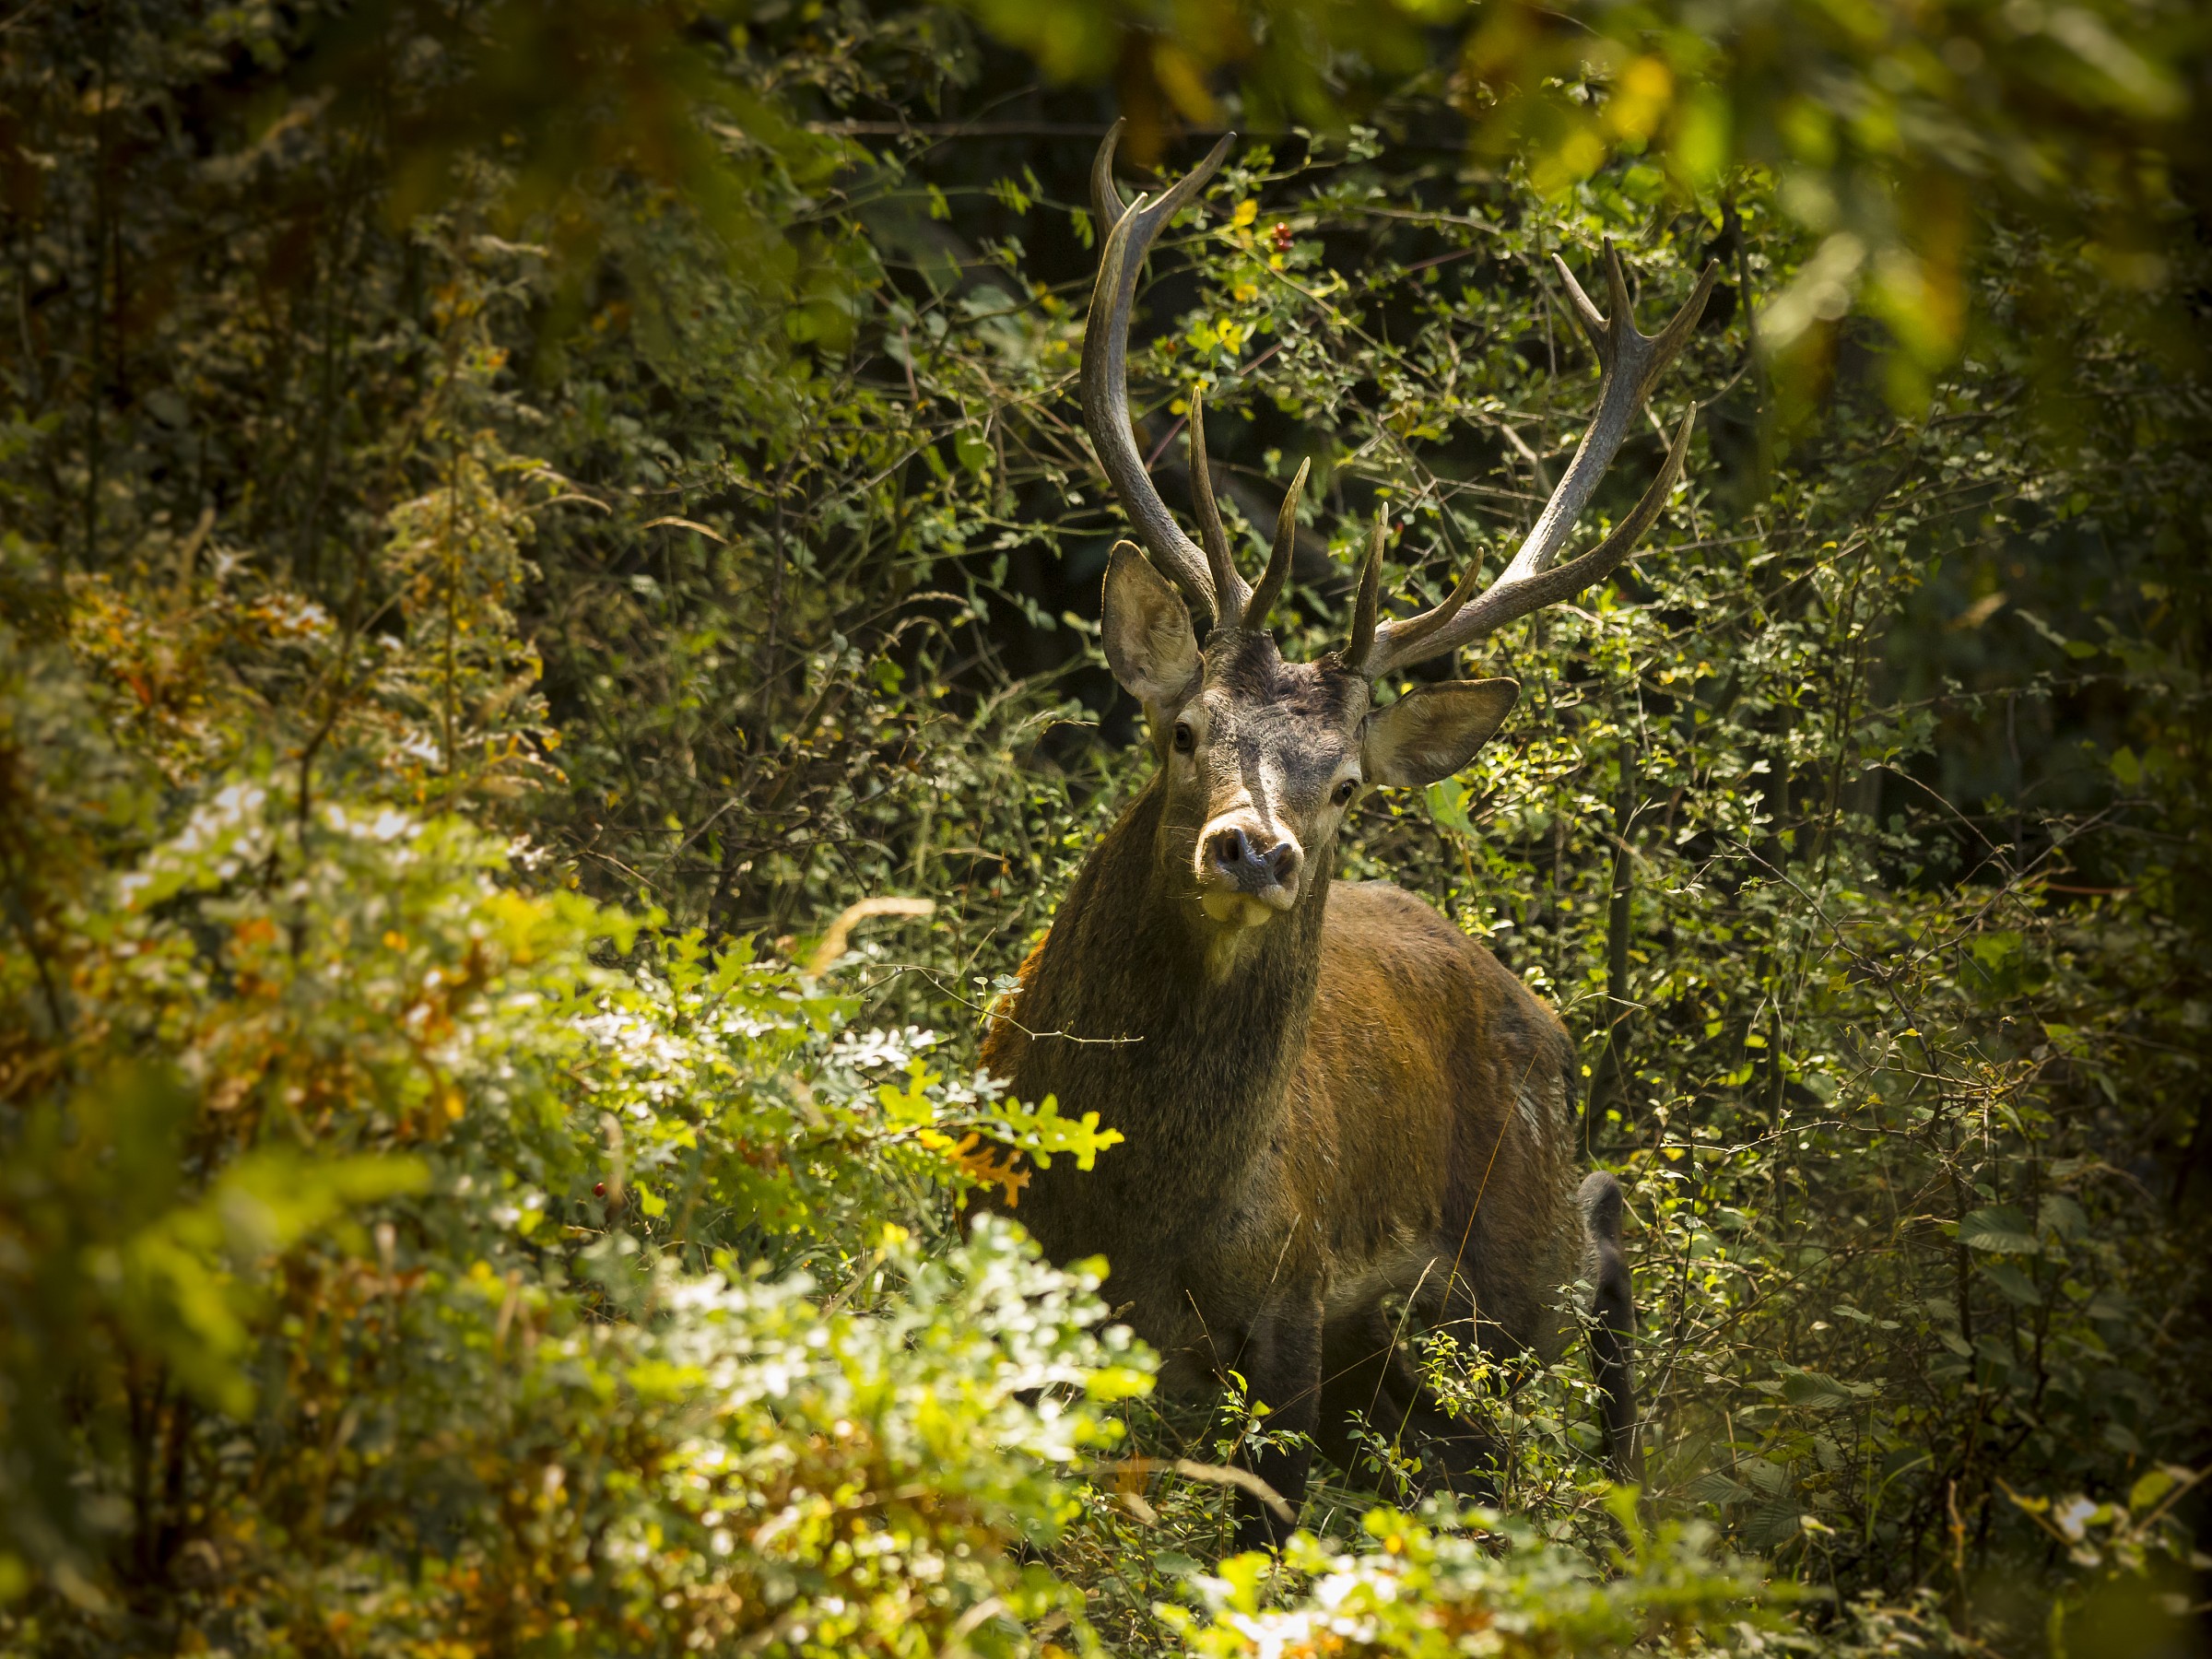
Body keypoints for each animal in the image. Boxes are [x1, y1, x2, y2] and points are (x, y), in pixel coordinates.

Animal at [976, 124, 1717, 1551]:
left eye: (1346, 790)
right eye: (1185, 730)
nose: (1253, 851)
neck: (1136, 1209)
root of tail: (1536, 1006)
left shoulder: (1291, 1301)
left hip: (1505, 1257)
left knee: (1600, 1231)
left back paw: (1625, 1489)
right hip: (1403, 1353)